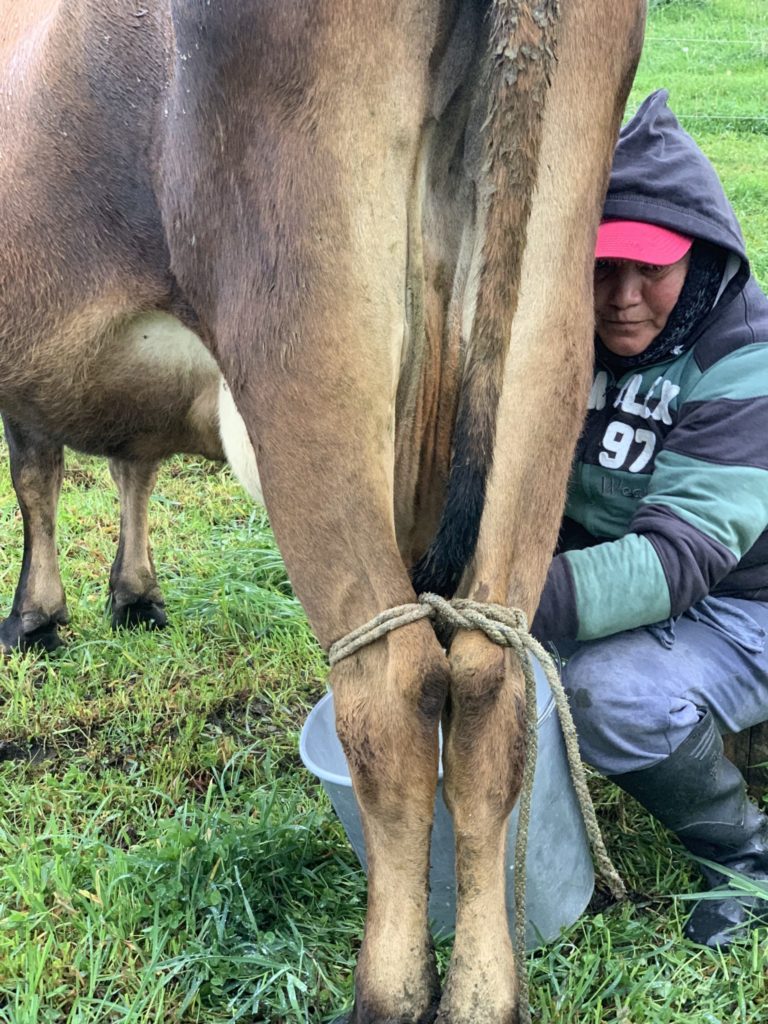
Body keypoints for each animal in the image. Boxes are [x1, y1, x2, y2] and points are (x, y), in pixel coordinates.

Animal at [0, 2, 651, 1024]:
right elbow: (129, 460)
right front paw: (132, 597)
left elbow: (39, 475)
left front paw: (38, 617)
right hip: (548, 318)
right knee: (491, 689)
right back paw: (482, 993)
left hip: (301, 330)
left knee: (389, 692)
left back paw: (387, 992)